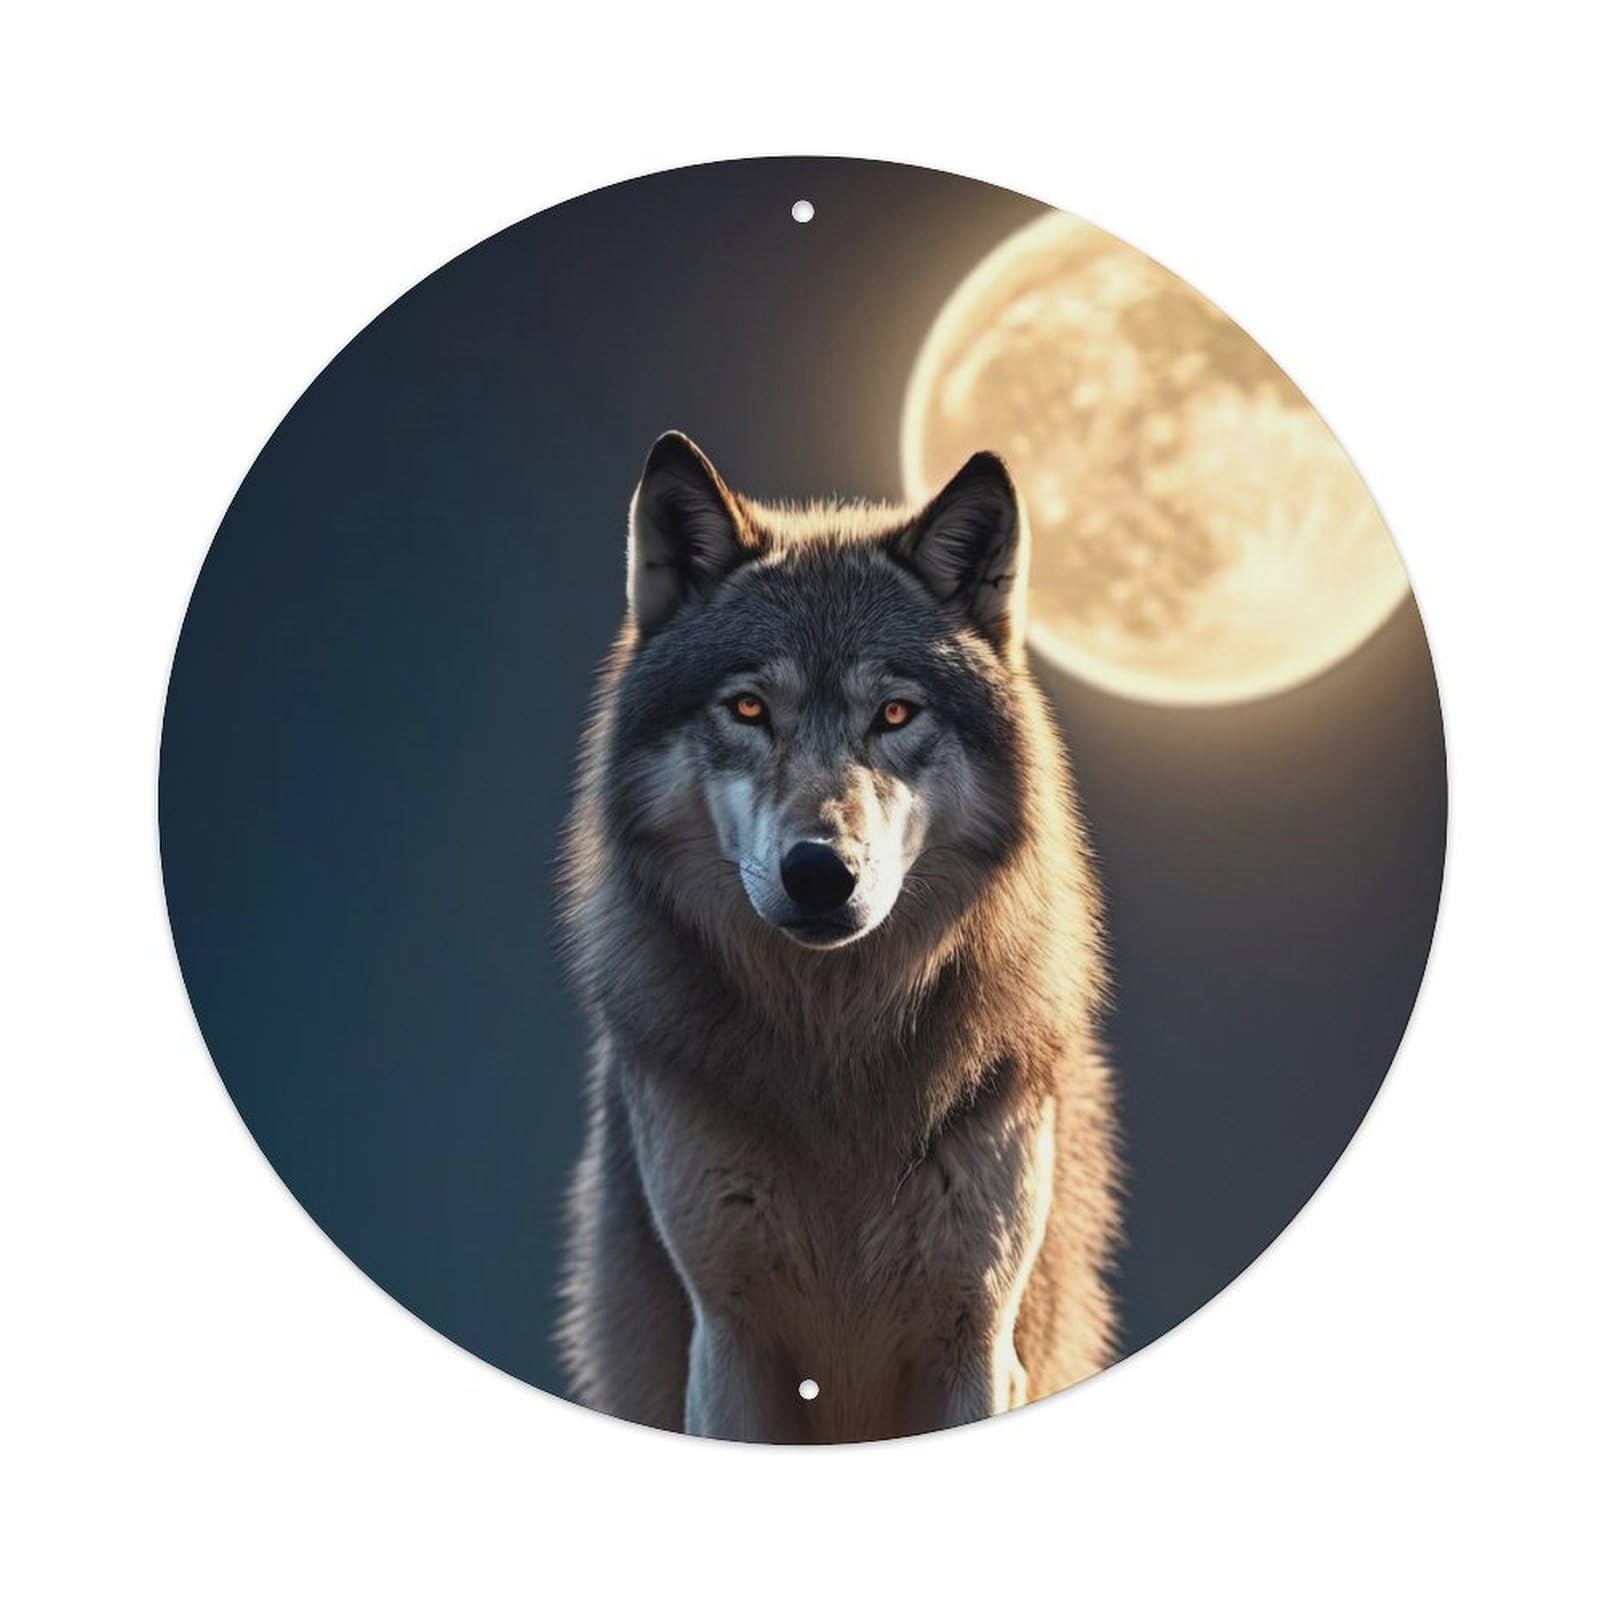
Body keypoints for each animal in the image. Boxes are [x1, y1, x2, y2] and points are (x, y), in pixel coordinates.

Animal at [556, 432, 1118, 1442]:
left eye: (894, 713)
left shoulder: (976, 1342)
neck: (836, 1054)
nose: (820, 870)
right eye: (748, 709)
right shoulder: (730, 1340)